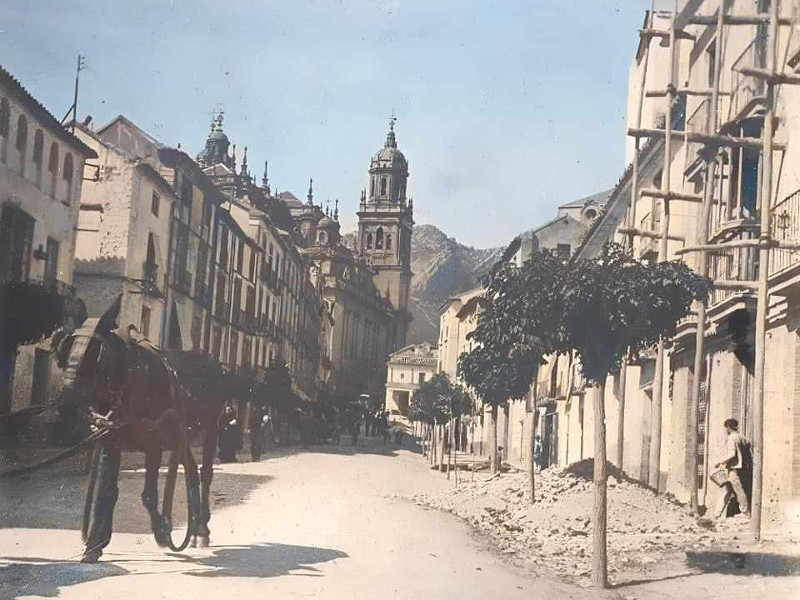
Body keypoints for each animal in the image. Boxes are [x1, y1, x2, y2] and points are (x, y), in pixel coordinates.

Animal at [54, 298, 222, 560]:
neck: (131, 379)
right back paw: (193, 529)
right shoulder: (111, 440)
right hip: (182, 437)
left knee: (205, 474)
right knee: (192, 471)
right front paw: (95, 544)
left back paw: (201, 530)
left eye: (96, 352)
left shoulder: (153, 444)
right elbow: (107, 490)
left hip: (210, 429)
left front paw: (162, 531)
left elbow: (149, 496)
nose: (65, 404)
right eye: (67, 348)